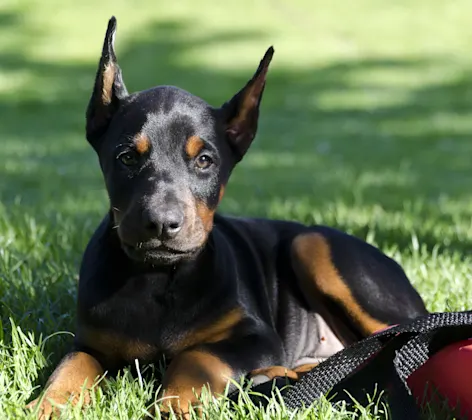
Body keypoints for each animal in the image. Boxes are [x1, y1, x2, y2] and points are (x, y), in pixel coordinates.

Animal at [27, 15, 430, 416]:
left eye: (205, 160)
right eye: (126, 157)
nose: (161, 223)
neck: (158, 280)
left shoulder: (256, 336)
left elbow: (196, 356)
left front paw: (174, 405)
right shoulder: (91, 340)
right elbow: (71, 366)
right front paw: (49, 404)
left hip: (313, 245)